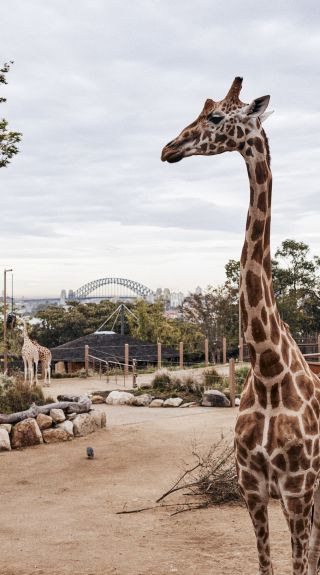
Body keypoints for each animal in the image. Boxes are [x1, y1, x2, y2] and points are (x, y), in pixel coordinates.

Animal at [161, 77, 320, 575]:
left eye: (216, 116)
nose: (169, 149)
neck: (267, 369)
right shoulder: (252, 489)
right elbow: (266, 565)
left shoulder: (296, 490)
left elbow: (299, 564)